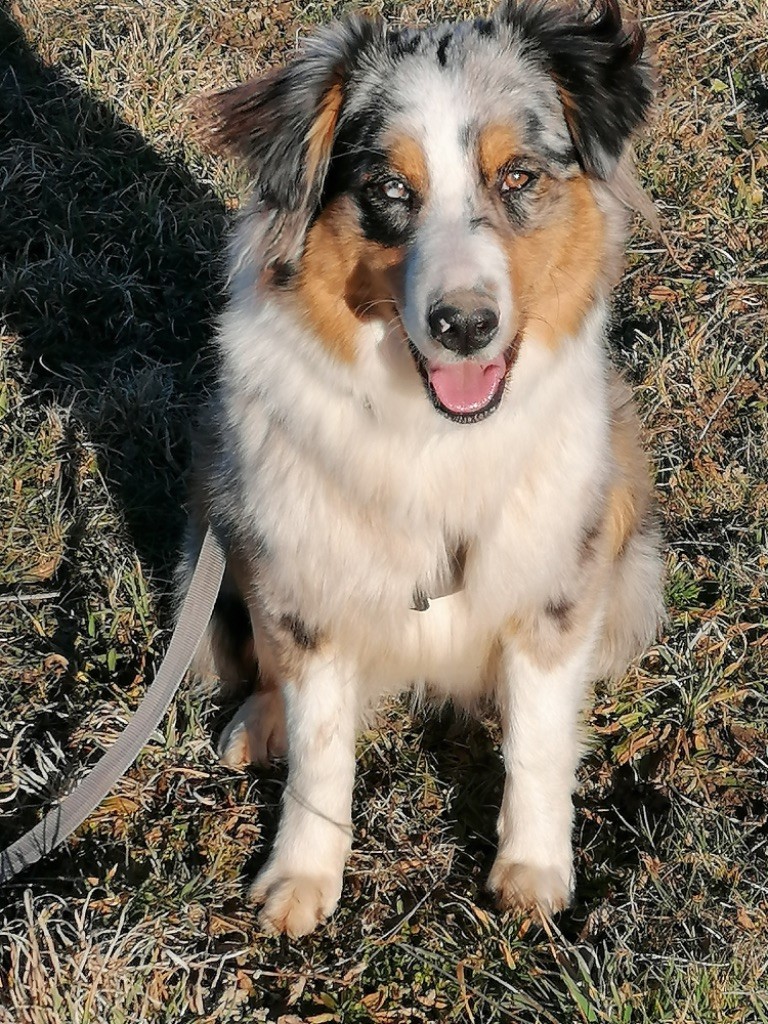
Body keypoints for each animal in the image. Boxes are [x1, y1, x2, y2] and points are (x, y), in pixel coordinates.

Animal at [182, 0, 667, 937]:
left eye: (517, 177)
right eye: (389, 189)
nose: (465, 325)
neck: (434, 433)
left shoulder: (553, 579)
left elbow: (538, 744)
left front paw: (533, 872)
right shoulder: (307, 577)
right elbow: (321, 754)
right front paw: (301, 877)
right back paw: (260, 722)